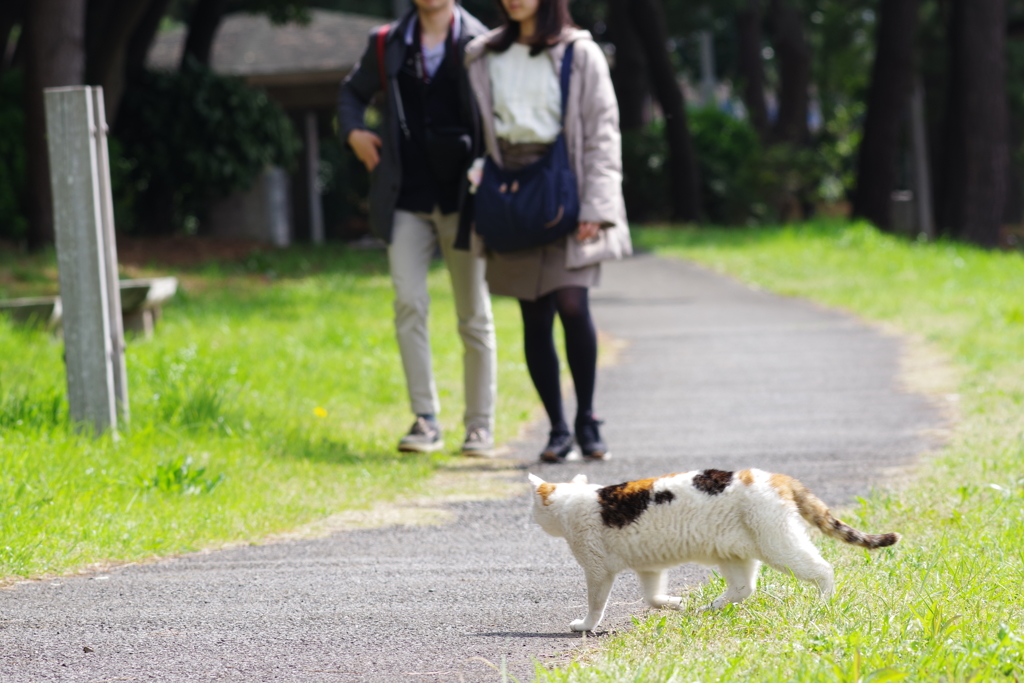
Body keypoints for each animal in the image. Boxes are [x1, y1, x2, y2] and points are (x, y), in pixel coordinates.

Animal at [528, 466, 897, 634]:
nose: (532, 520)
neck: (573, 500)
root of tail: (775, 476)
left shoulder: (597, 569)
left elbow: (595, 604)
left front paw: (585, 625)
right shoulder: (649, 567)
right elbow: (652, 597)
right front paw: (675, 603)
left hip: (777, 545)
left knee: (823, 570)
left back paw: (824, 603)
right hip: (736, 552)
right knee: (743, 589)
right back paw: (706, 608)